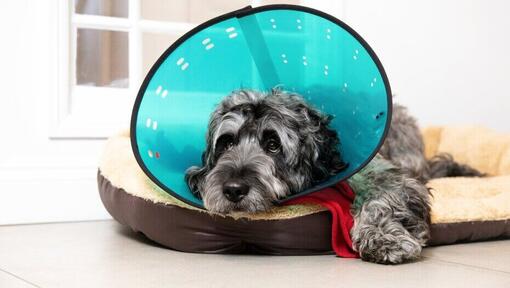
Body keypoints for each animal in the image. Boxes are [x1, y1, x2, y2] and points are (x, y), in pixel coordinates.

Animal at [184, 89, 482, 264]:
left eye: (273, 143)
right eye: (227, 142)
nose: (233, 189)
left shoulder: (393, 179)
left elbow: (379, 203)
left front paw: (382, 238)